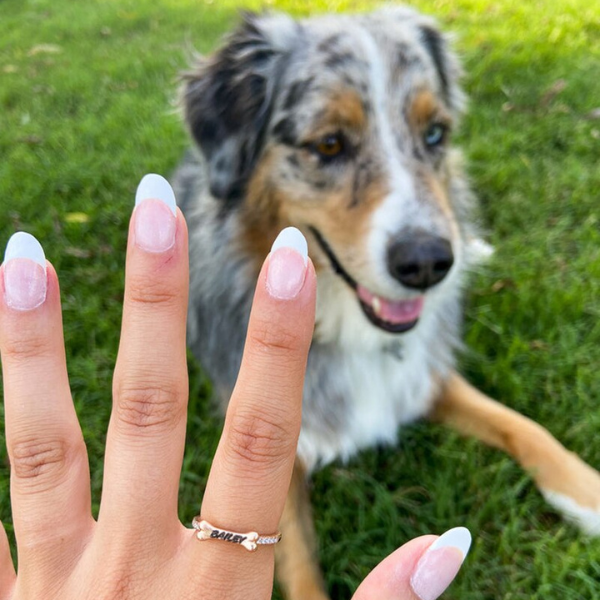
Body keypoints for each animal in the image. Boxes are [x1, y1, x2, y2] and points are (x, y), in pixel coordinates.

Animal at [170, 5, 600, 600]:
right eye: (329, 144)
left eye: (436, 133)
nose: (428, 265)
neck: (350, 328)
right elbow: (296, 564)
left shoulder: (422, 377)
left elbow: (524, 426)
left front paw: (589, 494)